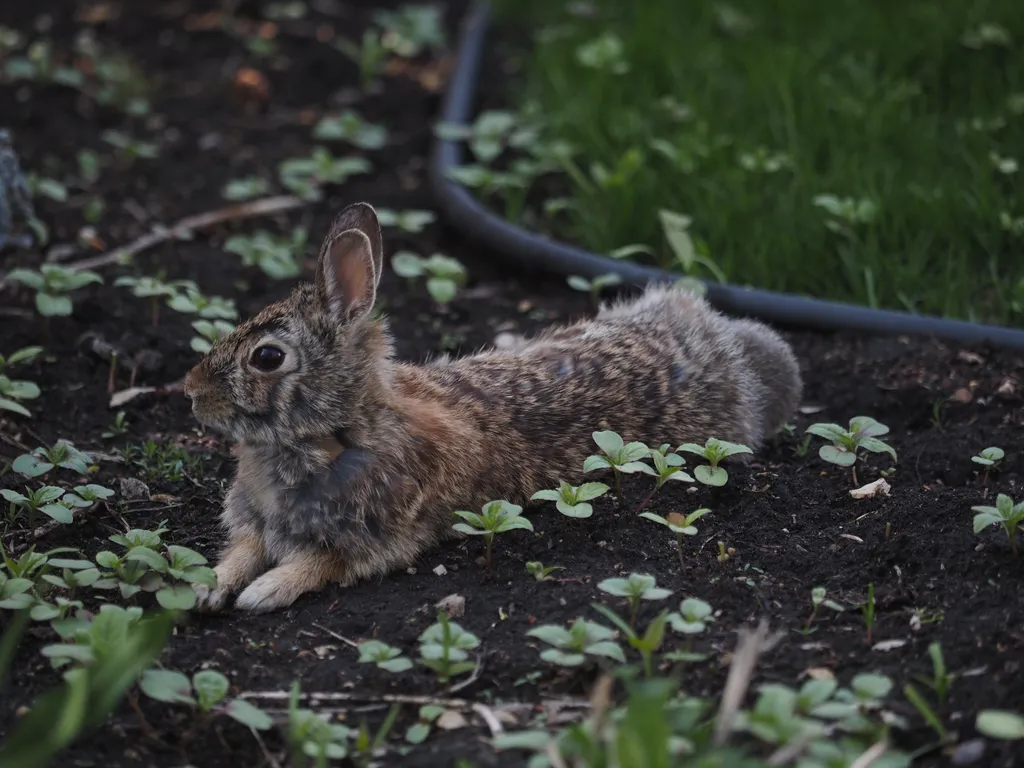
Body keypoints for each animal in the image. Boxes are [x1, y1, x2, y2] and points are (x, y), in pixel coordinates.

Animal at [188, 202, 802, 614]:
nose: (191, 391)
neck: (339, 432)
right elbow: (241, 550)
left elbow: (319, 563)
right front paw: (207, 587)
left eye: (267, 357)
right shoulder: (255, 522)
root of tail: (728, 346)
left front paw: (263, 591)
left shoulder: (375, 536)